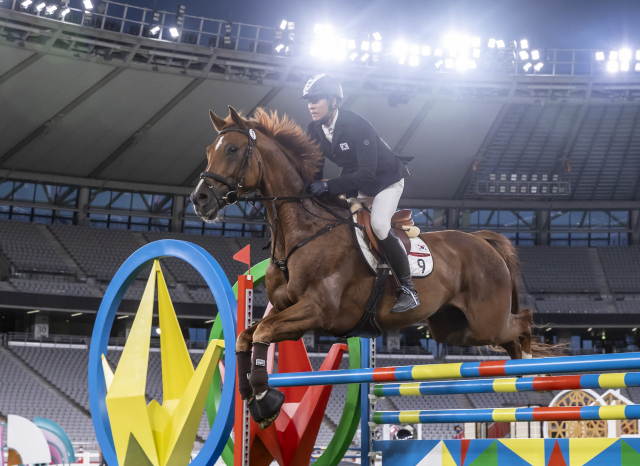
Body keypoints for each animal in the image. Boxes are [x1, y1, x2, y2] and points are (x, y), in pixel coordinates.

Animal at [190, 106, 536, 430]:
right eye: (208, 150)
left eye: (232, 149)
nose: (200, 199)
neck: (301, 233)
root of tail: (479, 240)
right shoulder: (284, 308)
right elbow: (244, 337)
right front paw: (251, 396)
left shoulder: (316, 311)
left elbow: (262, 331)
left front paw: (265, 399)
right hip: (453, 328)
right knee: (506, 334)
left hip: (486, 322)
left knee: (522, 323)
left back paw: (529, 368)